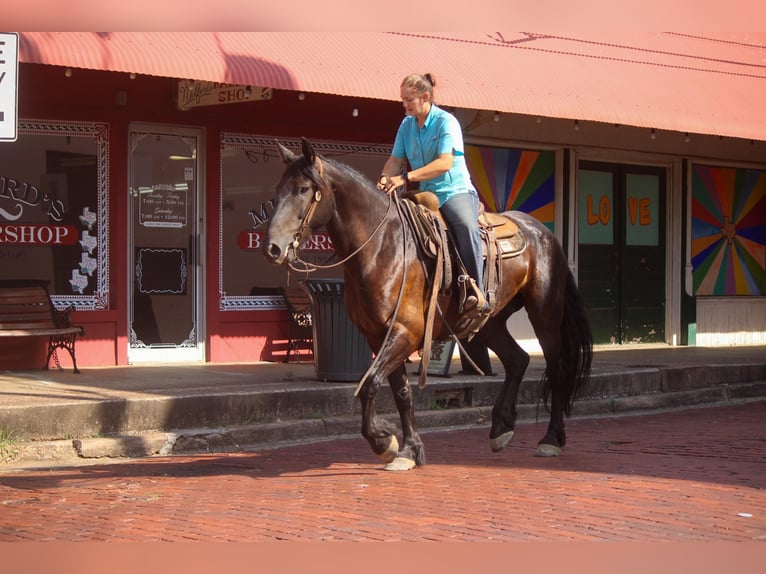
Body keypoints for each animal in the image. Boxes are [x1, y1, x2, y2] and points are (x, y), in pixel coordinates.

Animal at [264, 140, 592, 472]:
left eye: (304, 189)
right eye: (277, 191)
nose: (273, 248)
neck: (382, 247)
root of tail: (545, 233)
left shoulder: (406, 332)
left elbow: (370, 384)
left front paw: (385, 442)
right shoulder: (378, 335)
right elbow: (400, 391)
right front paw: (408, 449)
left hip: (545, 314)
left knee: (556, 369)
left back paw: (550, 439)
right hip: (489, 323)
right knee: (517, 360)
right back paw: (501, 428)